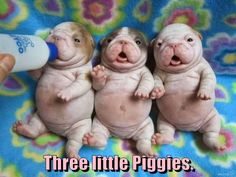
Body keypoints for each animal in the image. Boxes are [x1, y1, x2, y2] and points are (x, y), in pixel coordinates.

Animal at [13, 21, 95, 158]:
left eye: (77, 40)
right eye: (51, 32)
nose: (56, 36)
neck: (62, 67)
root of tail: (58, 131)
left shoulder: (85, 74)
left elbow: (79, 85)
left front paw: (64, 94)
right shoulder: (43, 70)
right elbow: (36, 74)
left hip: (81, 127)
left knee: (74, 141)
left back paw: (73, 154)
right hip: (39, 117)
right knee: (35, 129)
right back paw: (24, 129)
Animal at [83, 27, 155, 156]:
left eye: (138, 42)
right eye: (109, 40)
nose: (123, 41)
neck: (123, 71)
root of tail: (122, 136)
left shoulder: (146, 72)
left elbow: (148, 81)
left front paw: (142, 92)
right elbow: (97, 86)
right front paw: (99, 74)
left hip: (146, 125)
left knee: (143, 140)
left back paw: (147, 150)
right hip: (98, 124)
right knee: (101, 138)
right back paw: (92, 140)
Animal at [150, 22, 226, 151]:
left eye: (190, 39)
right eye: (159, 44)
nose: (173, 44)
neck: (180, 70)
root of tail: (191, 128)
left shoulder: (205, 68)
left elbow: (208, 79)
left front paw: (204, 93)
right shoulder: (157, 72)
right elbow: (156, 80)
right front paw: (157, 91)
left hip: (212, 117)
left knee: (210, 134)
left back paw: (216, 144)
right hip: (163, 120)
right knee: (167, 132)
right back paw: (160, 138)